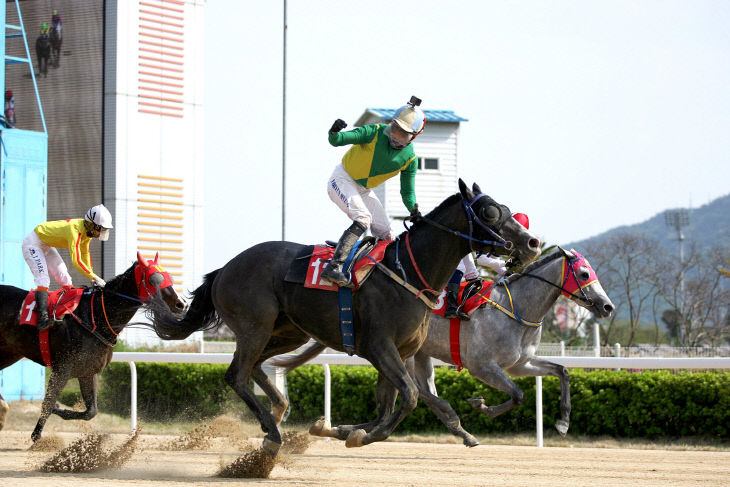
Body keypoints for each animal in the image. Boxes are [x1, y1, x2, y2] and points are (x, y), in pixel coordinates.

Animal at [142, 180, 540, 458]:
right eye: (490, 212)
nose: (533, 243)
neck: (408, 273)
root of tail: (224, 269)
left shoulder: (397, 352)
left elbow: (389, 405)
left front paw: (339, 429)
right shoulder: (379, 347)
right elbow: (409, 398)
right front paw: (358, 435)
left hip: (289, 331)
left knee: (255, 368)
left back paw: (279, 411)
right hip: (255, 325)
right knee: (236, 374)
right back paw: (273, 433)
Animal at [270, 250, 612, 448]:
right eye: (584, 274)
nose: (607, 306)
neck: (516, 309)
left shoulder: (519, 364)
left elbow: (562, 371)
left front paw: (563, 422)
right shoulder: (482, 366)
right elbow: (517, 395)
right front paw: (481, 405)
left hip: (416, 355)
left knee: (410, 396)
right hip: (405, 354)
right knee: (417, 393)